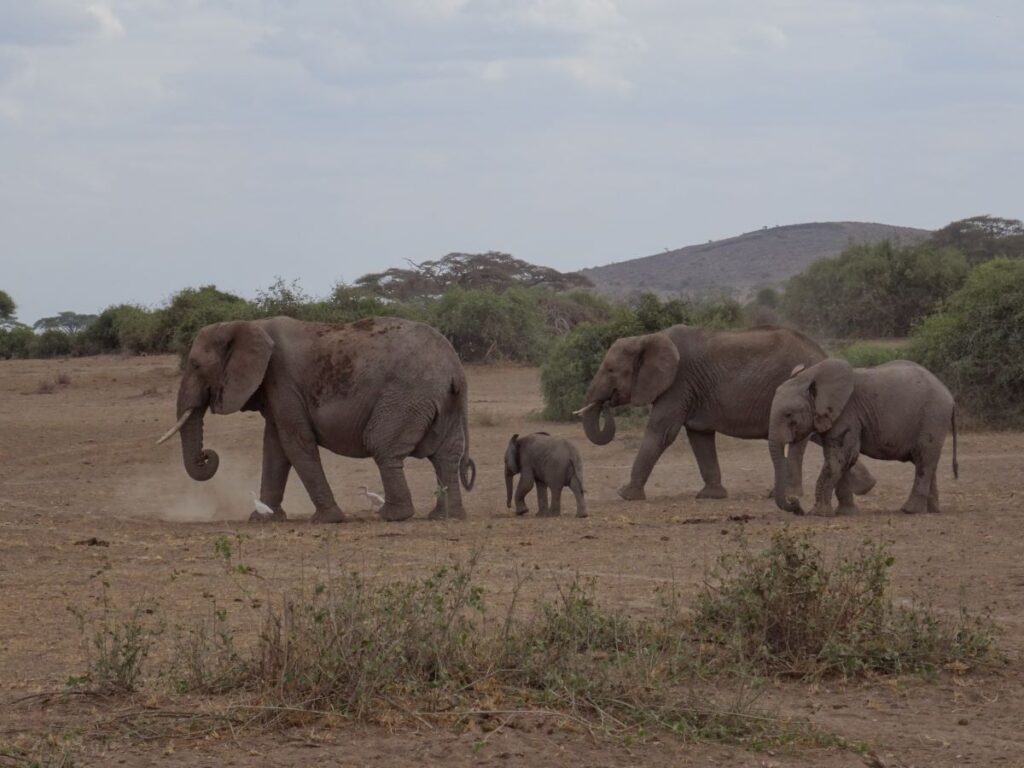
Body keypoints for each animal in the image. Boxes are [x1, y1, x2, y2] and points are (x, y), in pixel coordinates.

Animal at [156, 316, 476, 522]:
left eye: (196, 365)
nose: (206, 455)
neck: (248, 324)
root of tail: (456, 370)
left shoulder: (282, 380)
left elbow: (295, 444)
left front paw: (327, 519)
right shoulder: (275, 389)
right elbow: (275, 448)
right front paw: (263, 519)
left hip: (407, 395)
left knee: (382, 445)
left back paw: (393, 515)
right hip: (443, 401)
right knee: (446, 456)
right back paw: (445, 517)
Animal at [575, 325, 876, 501]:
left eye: (611, 370)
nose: (606, 403)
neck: (648, 337)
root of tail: (821, 352)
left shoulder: (678, 384)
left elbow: (662, 432)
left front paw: (626, 495)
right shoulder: (692, 391)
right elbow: (700, 437)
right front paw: (711, 495)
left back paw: (788, 493)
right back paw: (865, 487)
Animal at [768, 358, 958, 516]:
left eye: (788, 414)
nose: (796, 505)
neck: (811, 376)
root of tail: (949, 395)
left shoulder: (847, 413)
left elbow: (839, 458)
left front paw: (818, 513)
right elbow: (841, 460)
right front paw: (846, 513)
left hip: (933, 417)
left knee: (924, 458)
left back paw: (910, 511)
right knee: (926, 462)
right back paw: (932, 510)